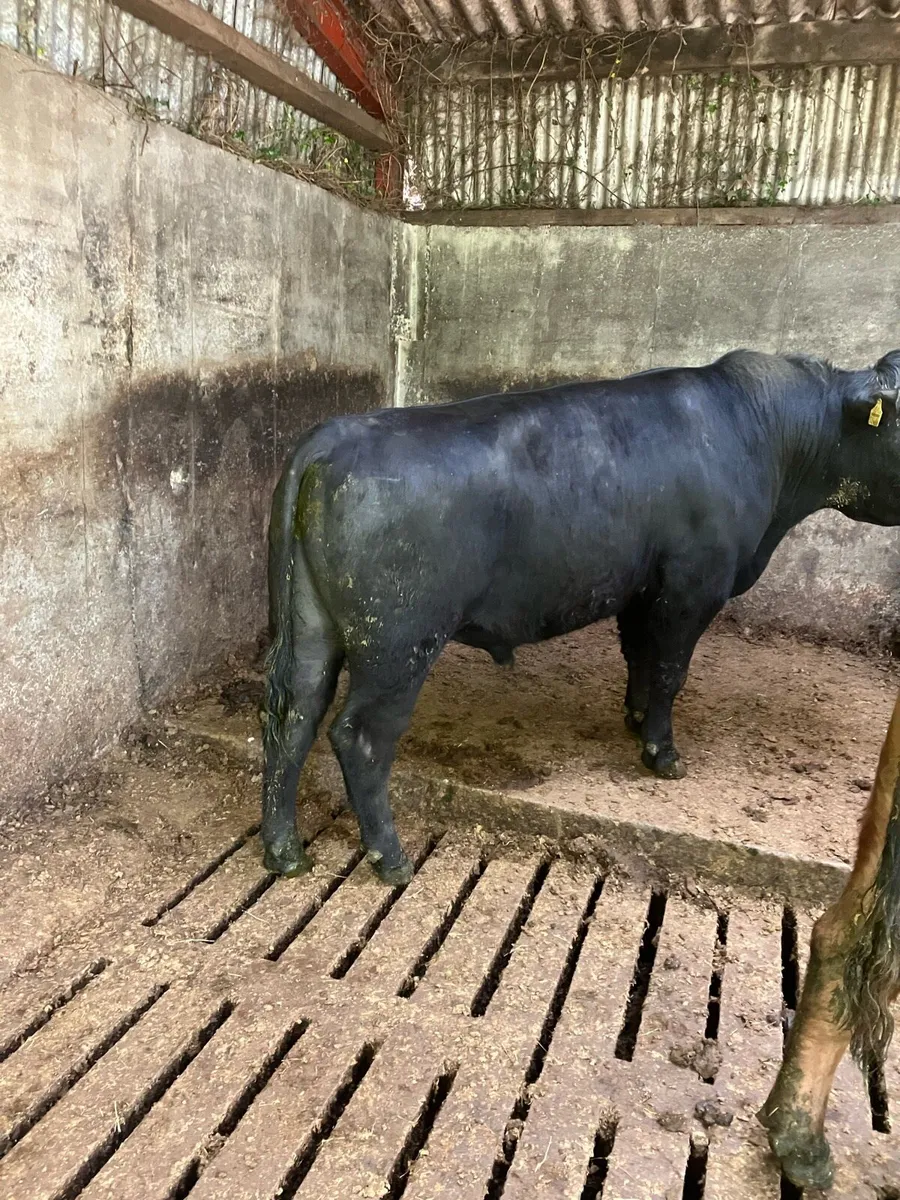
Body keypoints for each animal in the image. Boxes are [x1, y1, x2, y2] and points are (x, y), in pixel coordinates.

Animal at [261, 348, 900, 885]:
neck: (758, 431)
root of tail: (333, 436)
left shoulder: (641, 588)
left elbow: (640, 657)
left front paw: (635, 719)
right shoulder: (693, 584)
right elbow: (670, 670)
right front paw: (662, 754)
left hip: (313, 626)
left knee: (292, 715)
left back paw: (284, 851)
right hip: (399, 639)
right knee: (360, 736)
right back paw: (391, 859)